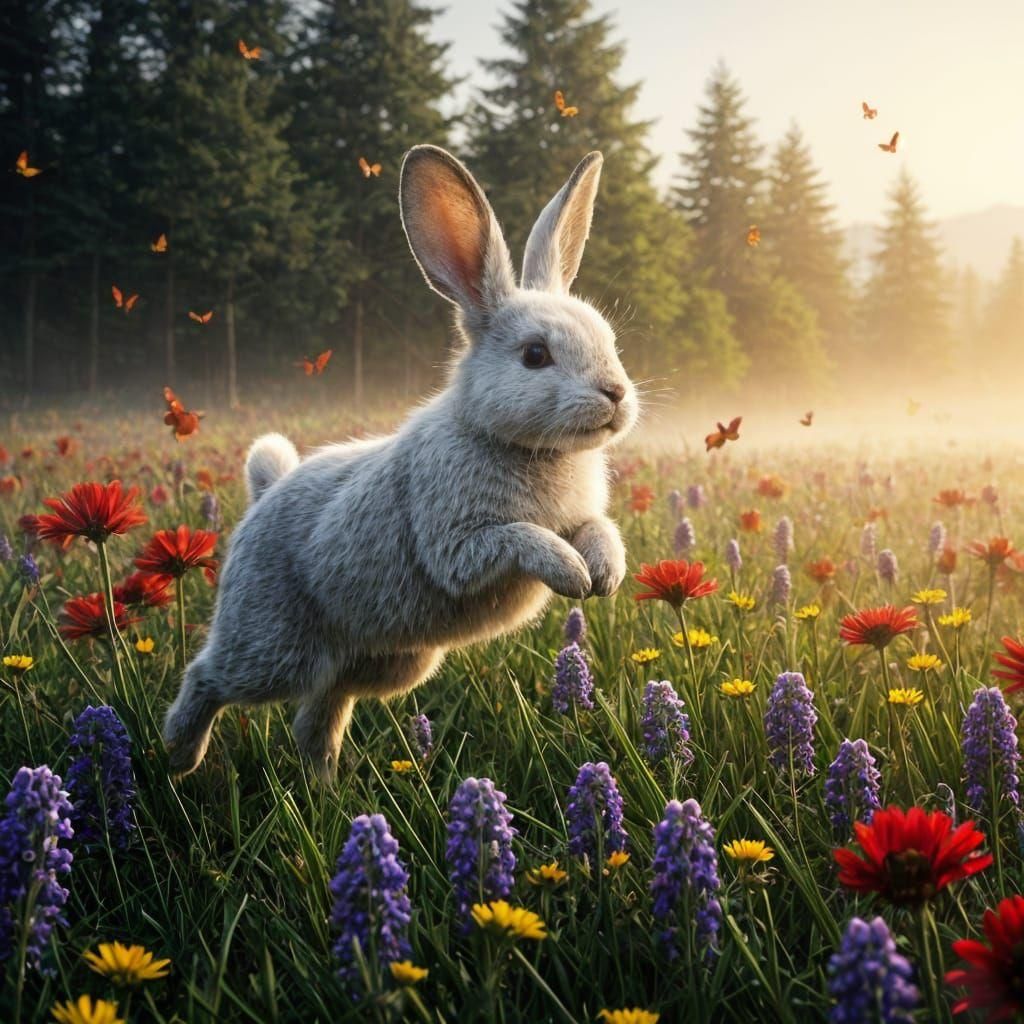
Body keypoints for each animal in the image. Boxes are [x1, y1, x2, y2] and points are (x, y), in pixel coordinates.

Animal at [163, 144, 639, 781]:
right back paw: (178, 757)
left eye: (609, 339)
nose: (615, 394)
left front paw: (604, 577)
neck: (520, 444)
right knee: (208, 678)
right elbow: (520, 539)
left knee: (320, 714)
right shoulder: (459, 543)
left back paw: (325, 787)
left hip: (384, 663)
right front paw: (572, 575)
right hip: (272, 648)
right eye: (535, 355)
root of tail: (266, 493)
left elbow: (597, 529)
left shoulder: (580, 518)